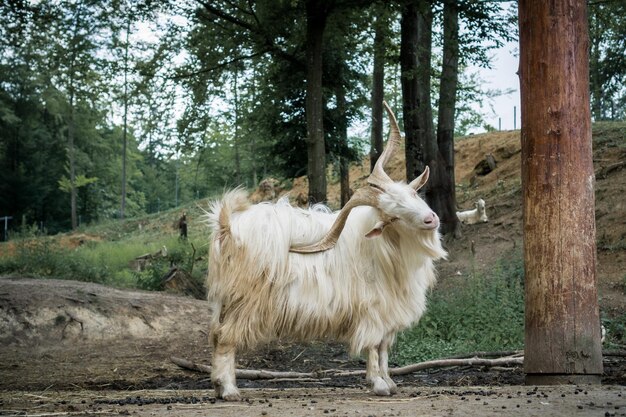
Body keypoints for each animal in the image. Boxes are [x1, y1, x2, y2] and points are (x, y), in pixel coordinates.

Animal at [205, 101, 444, 400]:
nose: (430, 219)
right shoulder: (372, 310)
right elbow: (373, 346)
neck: (385, 249)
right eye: (392, 217)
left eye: (411, 195)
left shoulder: (389, 312)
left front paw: (389, 382)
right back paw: (229, 390)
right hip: (244, 301)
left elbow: (384, 348)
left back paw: (218, 386)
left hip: (223, 301)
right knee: (226, 338)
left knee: (215, 336)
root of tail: (227, 228)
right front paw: (378, 384)